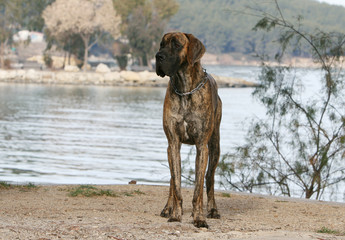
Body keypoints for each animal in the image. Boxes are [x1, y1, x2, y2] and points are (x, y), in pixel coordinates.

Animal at [155, 32, 222, 228]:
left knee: (210, 178)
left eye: (177, 45)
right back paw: (167, 208)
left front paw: (199, 217)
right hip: (171, 150)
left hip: (215, 146)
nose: (158, 56)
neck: (184, 89)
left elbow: (199, 188)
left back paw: (212, 210)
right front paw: (176, 214)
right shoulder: (173, 143)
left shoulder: (202, 146)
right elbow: (176, 184)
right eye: (161, 44)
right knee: (172, 179)